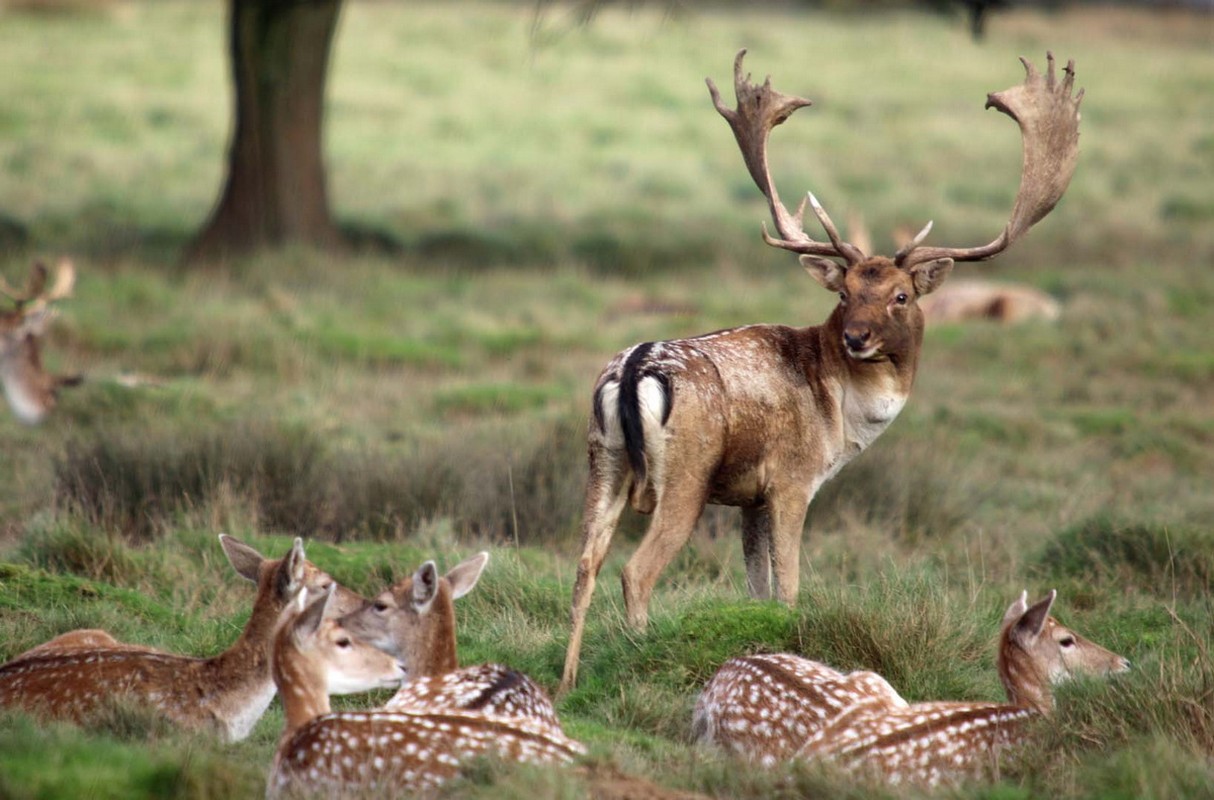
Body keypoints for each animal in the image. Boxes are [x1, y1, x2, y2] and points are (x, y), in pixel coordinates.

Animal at [558, 50, 1082, 689]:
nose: (857, 337)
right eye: (845, 293)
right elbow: (788, 589)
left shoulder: (750, 498)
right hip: (686, 474)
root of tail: (634, 369)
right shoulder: (790, 479)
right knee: (636, 570)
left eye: (900, 296)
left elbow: (756, 591)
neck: (843, 417)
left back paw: (568, 681)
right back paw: (639, 658)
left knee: (584, 564)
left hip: (602, 459)